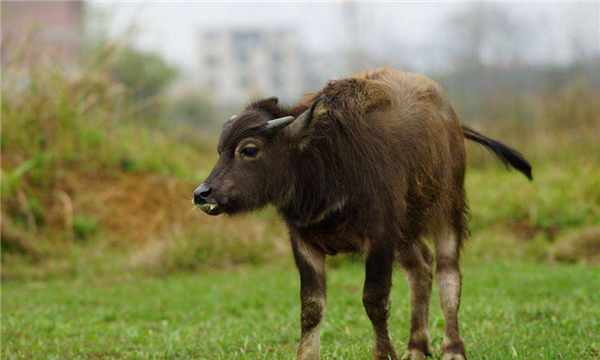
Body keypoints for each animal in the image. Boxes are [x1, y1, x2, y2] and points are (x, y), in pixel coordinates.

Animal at [195, 68, 532, 360]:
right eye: (220, 150)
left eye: (249, 150)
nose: (202, 194)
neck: (326, 167)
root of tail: (452, 119)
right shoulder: (303, 240)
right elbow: (311, 308)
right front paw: (307, 354)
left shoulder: (380, 237)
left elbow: (374, 299)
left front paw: (384, 353)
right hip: (405, 228)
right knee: (421, 269)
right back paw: (416, 347)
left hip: (448, 209)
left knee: (449, 275)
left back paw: (453, 348)